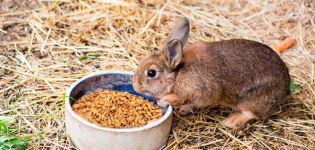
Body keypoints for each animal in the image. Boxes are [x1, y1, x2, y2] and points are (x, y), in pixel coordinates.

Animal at [133, 17, 292, 128]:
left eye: (151, 73)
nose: (135, 85)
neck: (177, 74)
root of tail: (285, 88)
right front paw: (183, 109)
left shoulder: (199, 91)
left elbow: (181, 98)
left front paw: (166, 100)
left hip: (252, 101)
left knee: (252, 114)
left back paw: (232, 121)